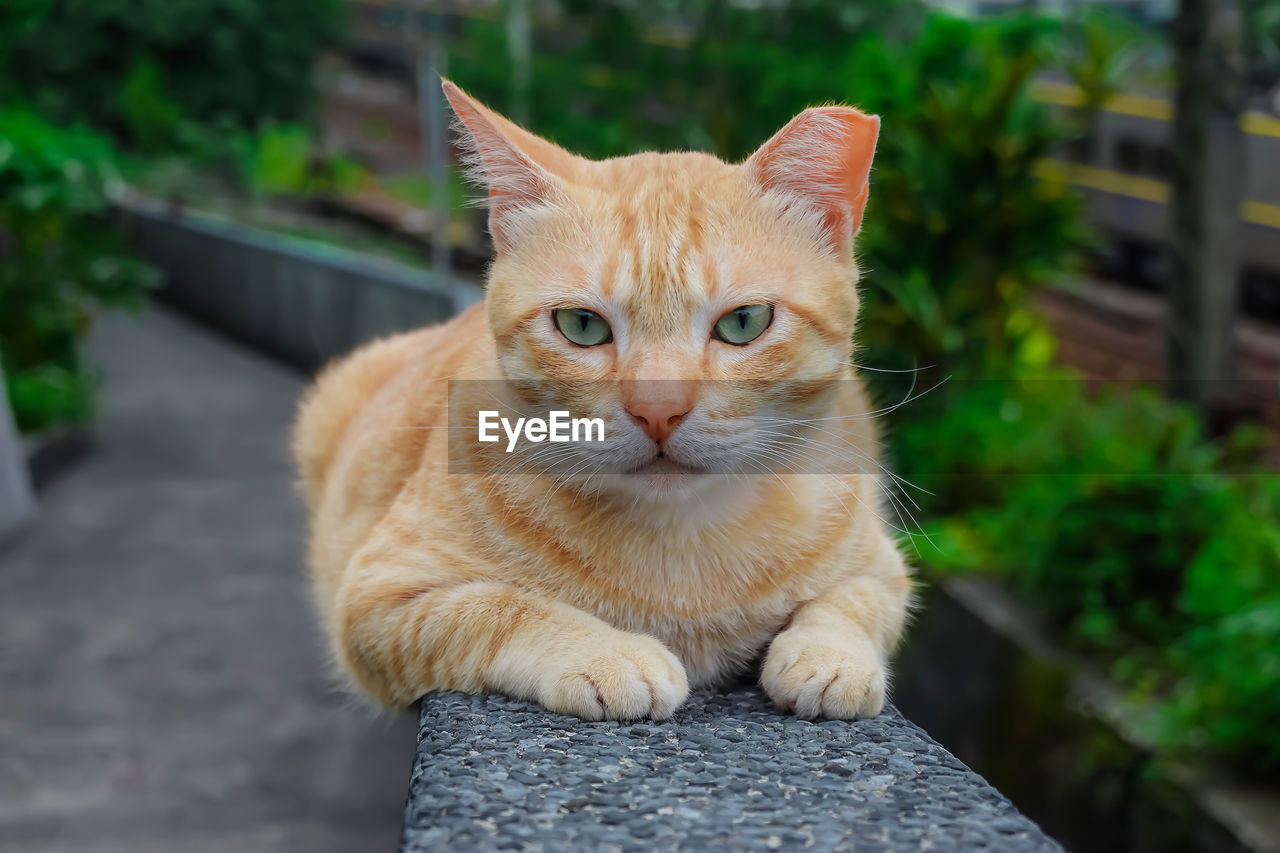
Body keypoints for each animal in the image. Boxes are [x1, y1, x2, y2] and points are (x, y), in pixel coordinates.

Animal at [293, 78, 911, 717]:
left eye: (744, 322)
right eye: (582, 326)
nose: (658, 410)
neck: (681, 551)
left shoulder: (884, 568)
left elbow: (852, 602)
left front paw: (830, 655)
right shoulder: (378, 596)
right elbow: (497, 608)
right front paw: (607, 652)